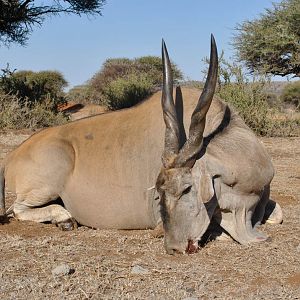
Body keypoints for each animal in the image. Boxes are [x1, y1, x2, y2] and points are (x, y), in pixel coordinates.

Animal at [0, 36, 282, 254]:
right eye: (159, 193)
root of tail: (11, 158)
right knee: (17, 210)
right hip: (44, 184)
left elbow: (277, 215)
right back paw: (65, 218)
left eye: (187, 189)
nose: (174, 247)